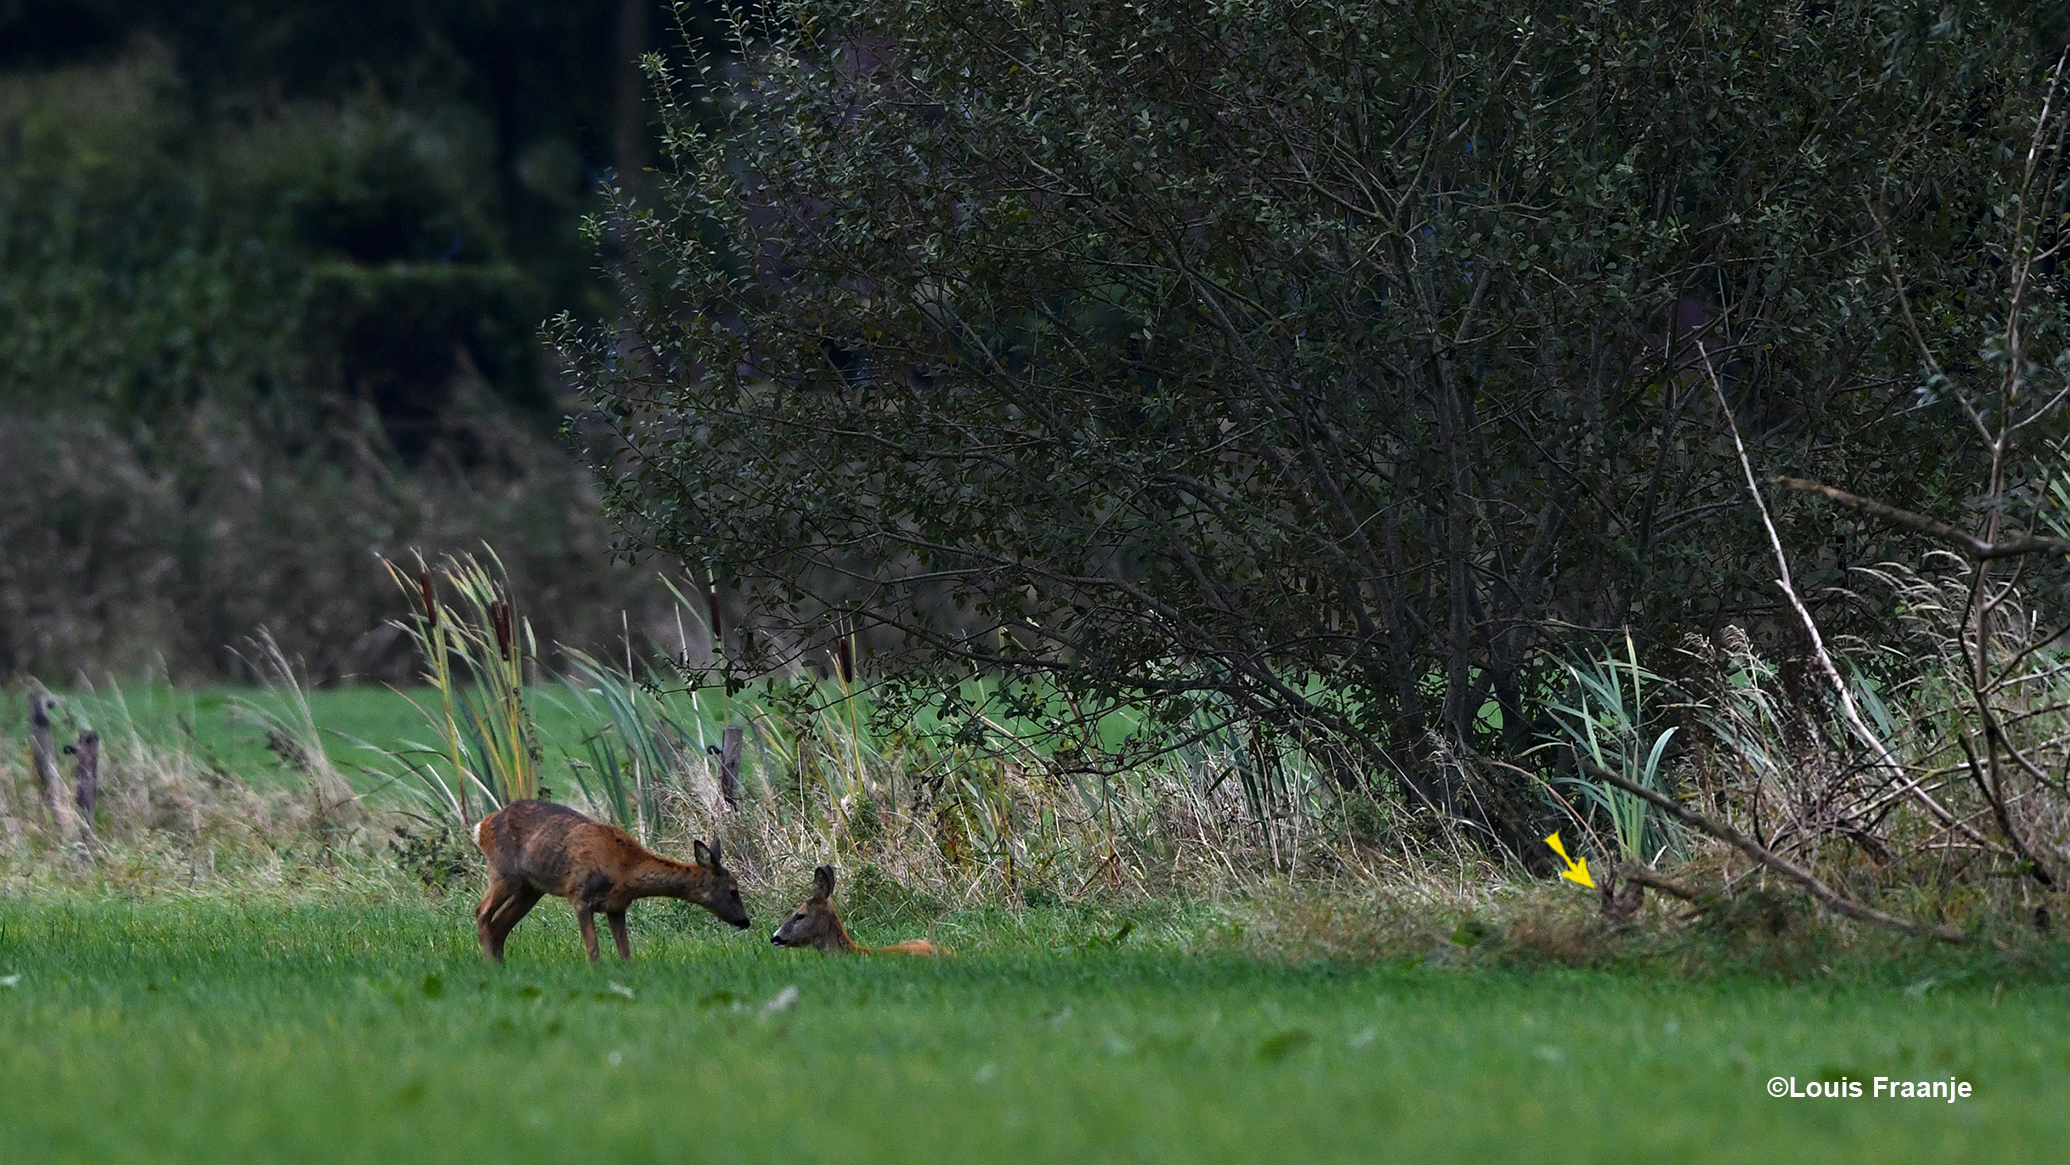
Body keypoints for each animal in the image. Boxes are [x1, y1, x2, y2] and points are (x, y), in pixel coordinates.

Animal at [474, 798, 753, 960]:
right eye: (733, 890)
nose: (745, 921)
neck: (625, 871)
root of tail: (482, 826)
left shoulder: (617, 907)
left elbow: (626, 952)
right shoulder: (579, 894)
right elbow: (593, 949)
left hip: (530, 888)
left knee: (500, 925)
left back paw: (500, 965)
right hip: (504, 872)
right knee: (482, 912)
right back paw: (490, 964)